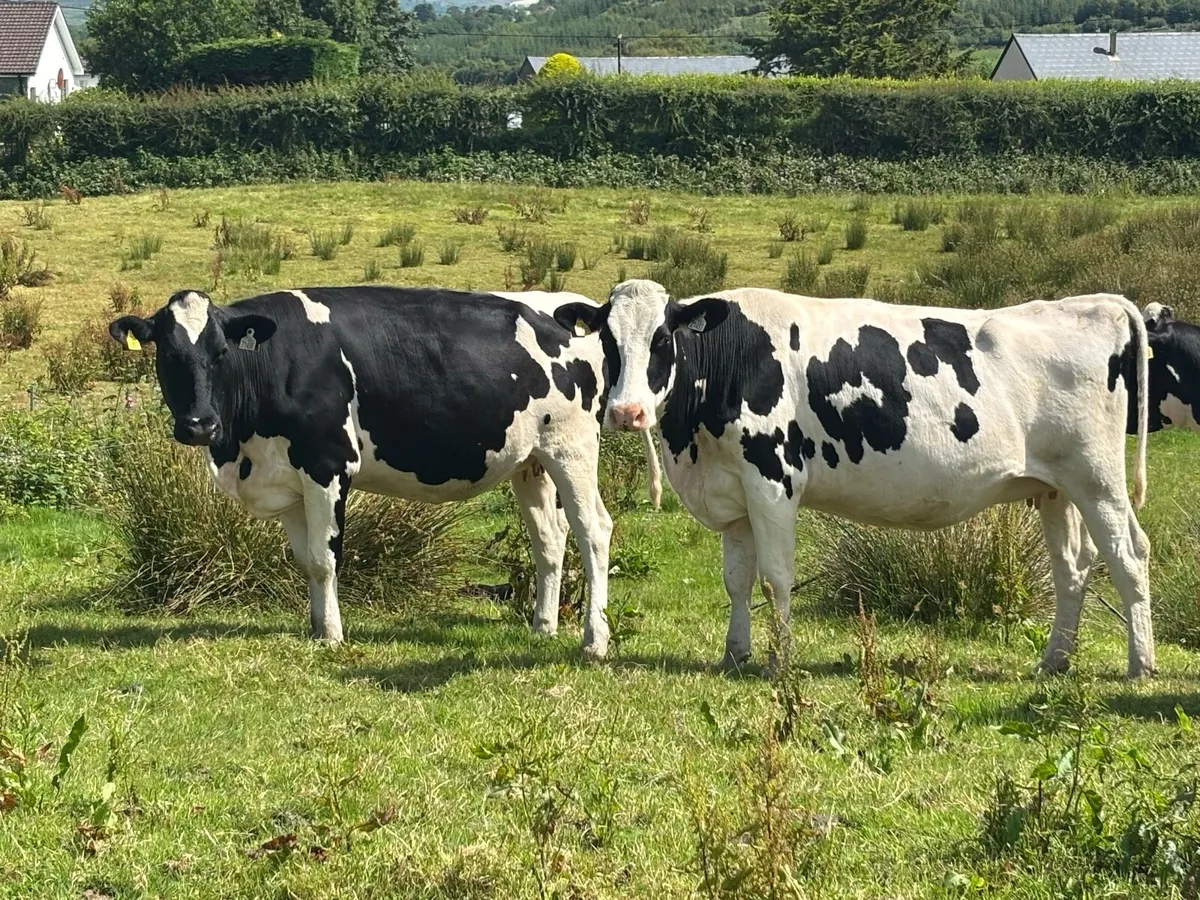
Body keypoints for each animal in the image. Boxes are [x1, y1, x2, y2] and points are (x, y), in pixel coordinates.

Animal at [110, 286, 616, 658]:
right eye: (167, 354)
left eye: (220, 354)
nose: (200, 424)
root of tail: (566, 309)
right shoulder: (287, 480)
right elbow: (305, 562)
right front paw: (316, 627)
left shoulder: (328, 465)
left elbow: (324, 558)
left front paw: (332, 635)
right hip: (532, 461)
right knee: (549, 539)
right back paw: (543, 627)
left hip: (573, 449)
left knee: (593, 530)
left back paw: (594, 641)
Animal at [554, 280, 1155, 678]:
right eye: (607, 341)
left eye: (662, 340)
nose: (626, 412)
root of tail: (1091, 303)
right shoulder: (734, 491)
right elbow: (737, 580)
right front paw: (735, 653)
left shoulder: (773, 481)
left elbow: (775, 577)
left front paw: (779, 661)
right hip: (1056, 488)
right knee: (1073, 567)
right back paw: (1054, 661)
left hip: (1098, 480)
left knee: (1129, 555)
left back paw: (1140, 663)